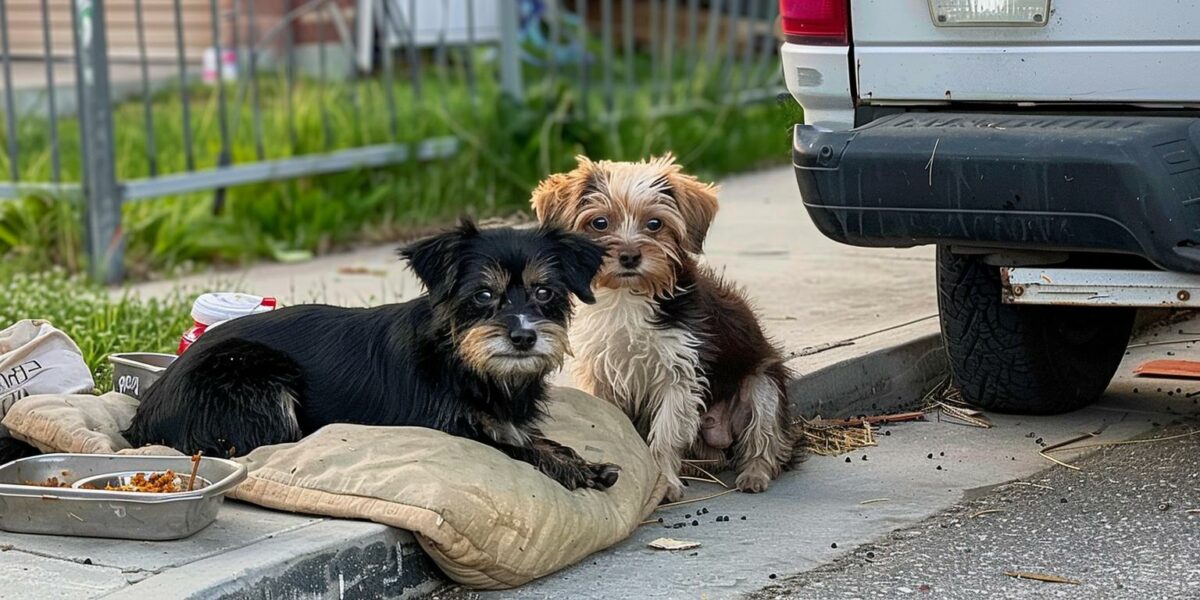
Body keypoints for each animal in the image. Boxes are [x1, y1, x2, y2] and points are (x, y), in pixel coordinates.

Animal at [124, 222, 619, 492]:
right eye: (482, 295)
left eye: (544, 293)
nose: (523, 337)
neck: (461, 358)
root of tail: (144, 416)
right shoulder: (449, 429)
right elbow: (516, 447)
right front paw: (574, 469)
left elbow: (537, 438)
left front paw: (579, 459)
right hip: (257, 379)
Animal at [532, 154, 796, 501]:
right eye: (599, 223)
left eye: (655, 224)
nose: (630, 256)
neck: (627, 296)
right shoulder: (602, 372)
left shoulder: (678, 373)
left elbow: (666, 434)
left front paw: (664, 484)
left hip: (761, 384)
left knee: (765, 439)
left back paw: (754, 474)